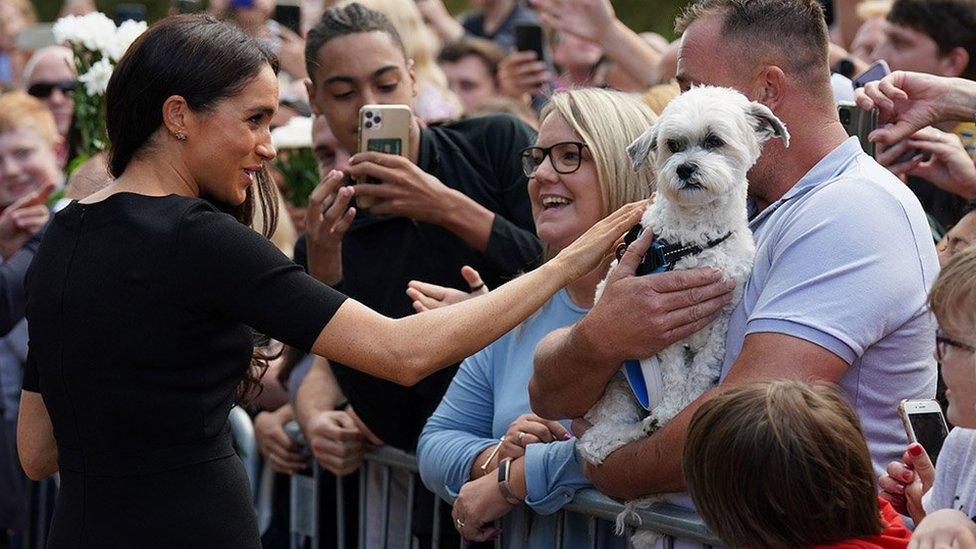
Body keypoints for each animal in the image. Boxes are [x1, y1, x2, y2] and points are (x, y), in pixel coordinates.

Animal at [576, 89, 788, 540]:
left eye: (714, 141)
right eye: (673, 145)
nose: (685, 168)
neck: (695, 241)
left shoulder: (722, 315)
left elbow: (702, 368)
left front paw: (687, 403)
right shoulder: (659, 322)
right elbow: (673, 373)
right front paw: (672, 409)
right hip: (617, 387)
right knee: (595, 443)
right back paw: (636, 429)